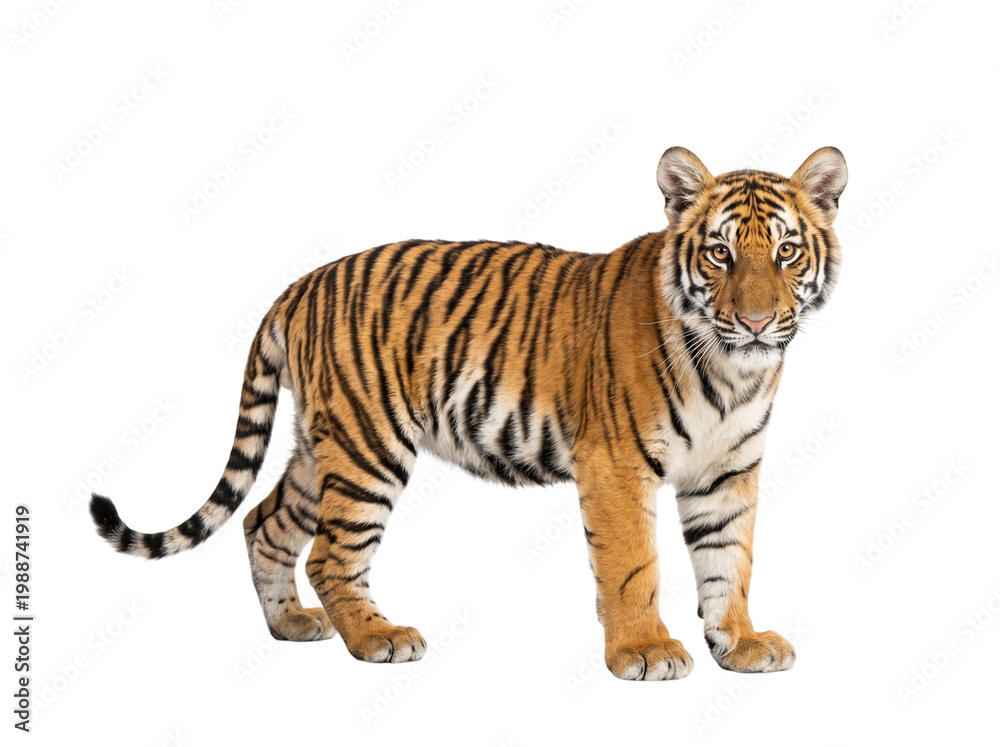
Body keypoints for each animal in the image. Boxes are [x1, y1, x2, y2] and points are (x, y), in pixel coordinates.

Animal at [90, 146, 847, 681]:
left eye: (786, 251)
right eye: (720, 253)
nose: (755, 321)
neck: (735, 370)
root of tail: (301, 283)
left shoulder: (726, 472)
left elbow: (730, 560)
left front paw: (740, 643)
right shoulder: (616, 465)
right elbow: (634, 565)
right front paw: (645, 650)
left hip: (319, 444)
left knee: (264, 522)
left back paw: (292, 626)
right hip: (368, 447)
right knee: (332, 553)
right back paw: (378, 637)